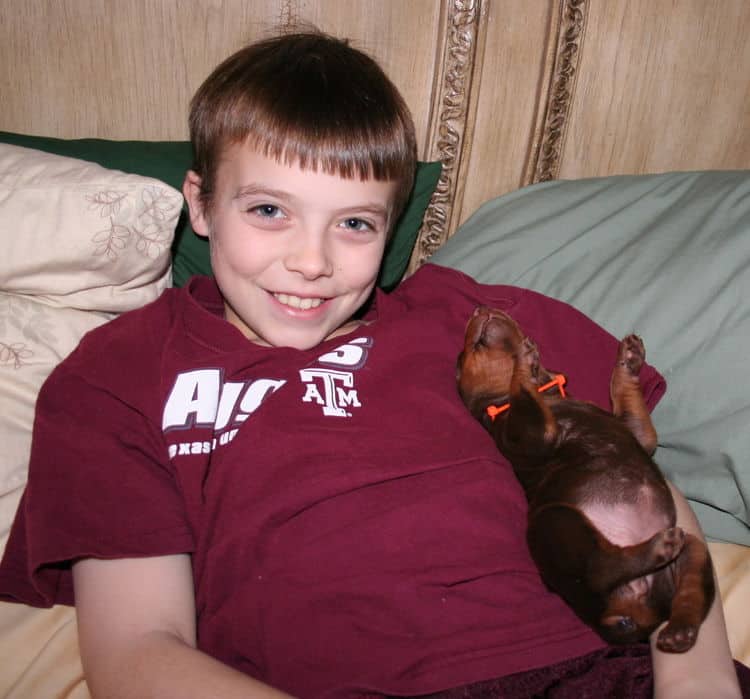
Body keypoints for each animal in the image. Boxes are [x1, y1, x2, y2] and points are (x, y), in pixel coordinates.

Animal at [458, 306, 716, 652]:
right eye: (461, 356)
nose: (481, 308)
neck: (550, 396)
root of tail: (618, 619)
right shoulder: (528, 435)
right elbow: (521, 387)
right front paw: (526, 361)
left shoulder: (637, 433)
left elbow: (628, 399)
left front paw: (629, 360)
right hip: (555, 520)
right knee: (600, 568)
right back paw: (656, 550)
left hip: (691, 555)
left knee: (689, 589)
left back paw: (679, 631)